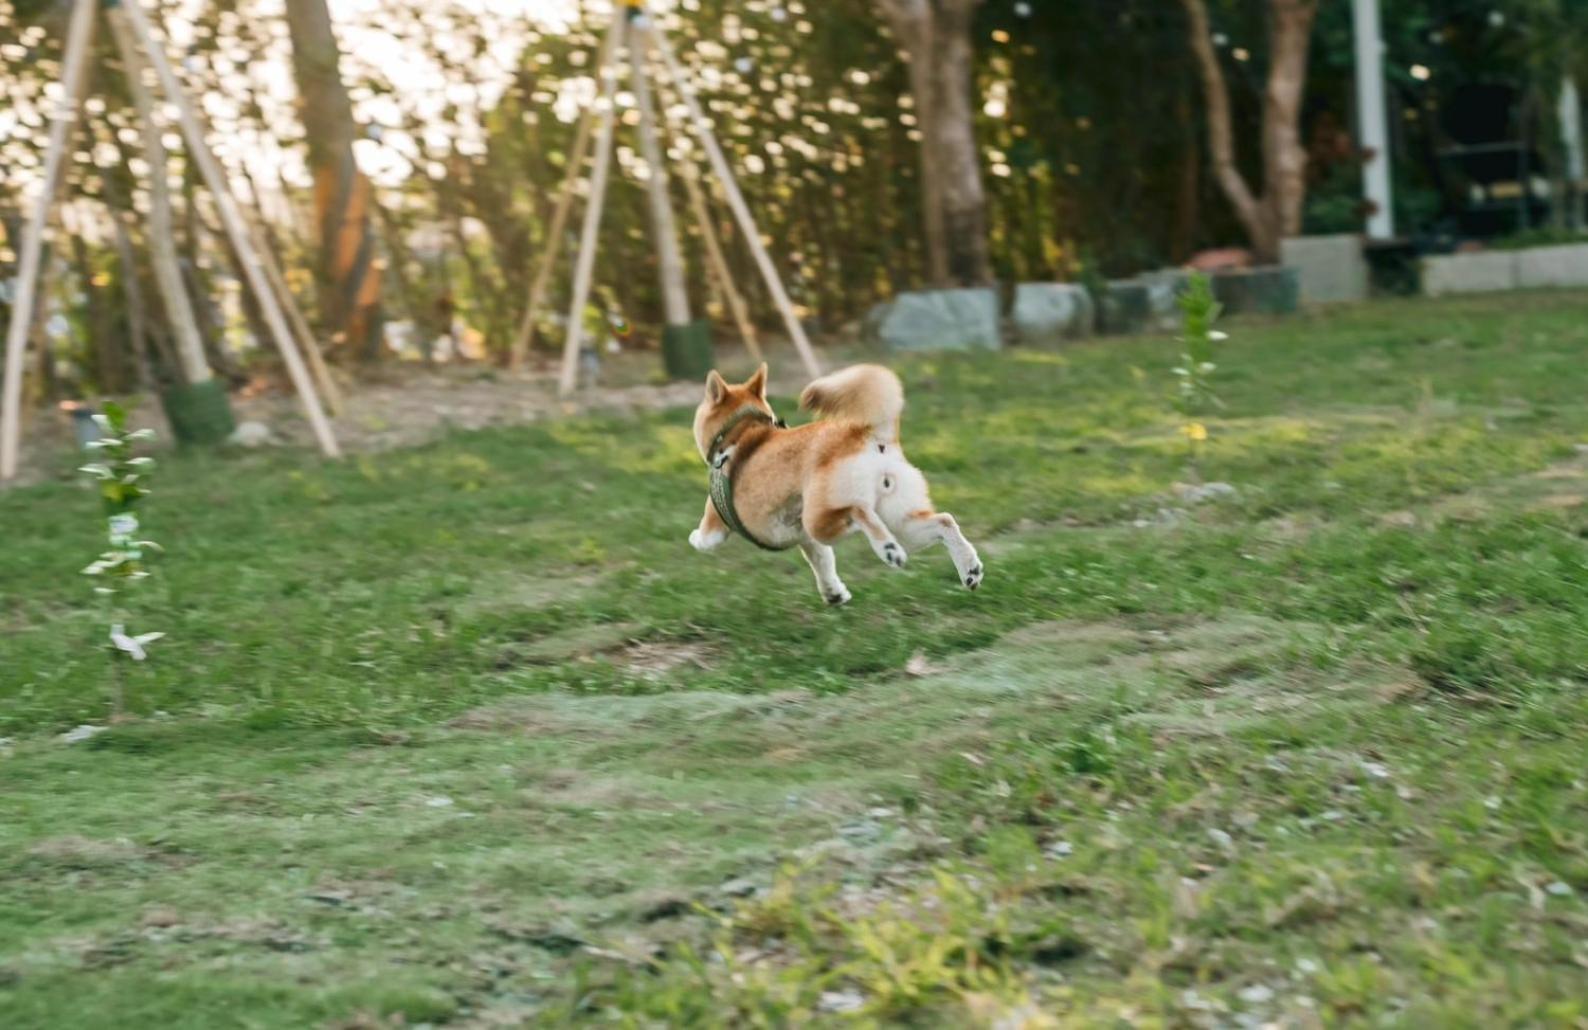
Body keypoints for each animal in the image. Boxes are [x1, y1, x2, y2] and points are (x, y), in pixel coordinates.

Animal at [692, 361, 984, 603]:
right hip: (902, 522)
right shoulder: (807, 540)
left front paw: (694, 539)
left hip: (820, 518)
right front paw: (834, 594)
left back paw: (888, 549)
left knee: (859, 512)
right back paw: (969, 567)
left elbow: (705, 539)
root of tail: (869, 435)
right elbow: (823, 565)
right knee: (944, 521)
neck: (739, 432)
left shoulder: (716, 521)